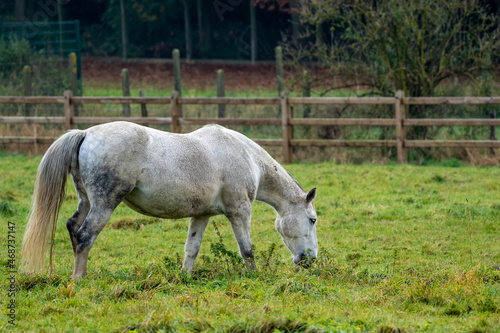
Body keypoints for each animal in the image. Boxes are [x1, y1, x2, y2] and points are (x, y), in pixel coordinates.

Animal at [21, 122, 318, 278]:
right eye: (312, 219)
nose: (310, 259)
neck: (246, 157)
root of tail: (86, 133)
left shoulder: (202, 215)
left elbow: (191, 248)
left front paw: (185, 276)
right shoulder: (240, 211)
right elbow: (247, 249)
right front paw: (253, 275)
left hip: (86, 202)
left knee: (73, 228)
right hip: (104, 205)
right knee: (85, 236)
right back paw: (79, 278)